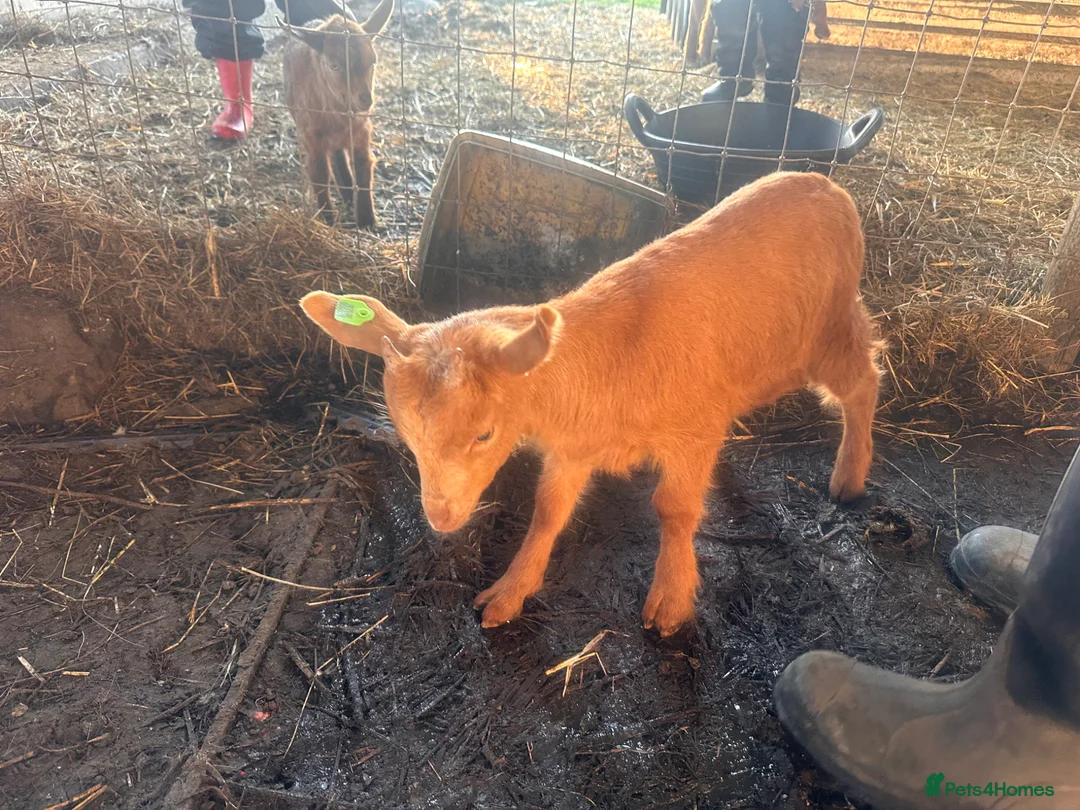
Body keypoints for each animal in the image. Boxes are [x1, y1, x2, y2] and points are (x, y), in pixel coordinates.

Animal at [281, 0, 393, 230]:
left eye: (373, 61)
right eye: (334, 65)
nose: (366, 99)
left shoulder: (362, 131)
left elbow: (363, 166)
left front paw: (366, 219)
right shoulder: (311, 136)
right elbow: (319, 174)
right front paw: (328, 219)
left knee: (338, 153)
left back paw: (349, 192)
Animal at [300, 172, 882, 636]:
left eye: (484, 434)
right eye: (408, 435)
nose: (441, 519)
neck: (610, 362)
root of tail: (824, 182)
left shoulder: (692, 431)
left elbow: (674, 509)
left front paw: (671, 601)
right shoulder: (574, 448)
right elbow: (548, 511)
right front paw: (509, 592)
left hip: (831, 330)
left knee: (864, 381)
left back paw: (850, 476)